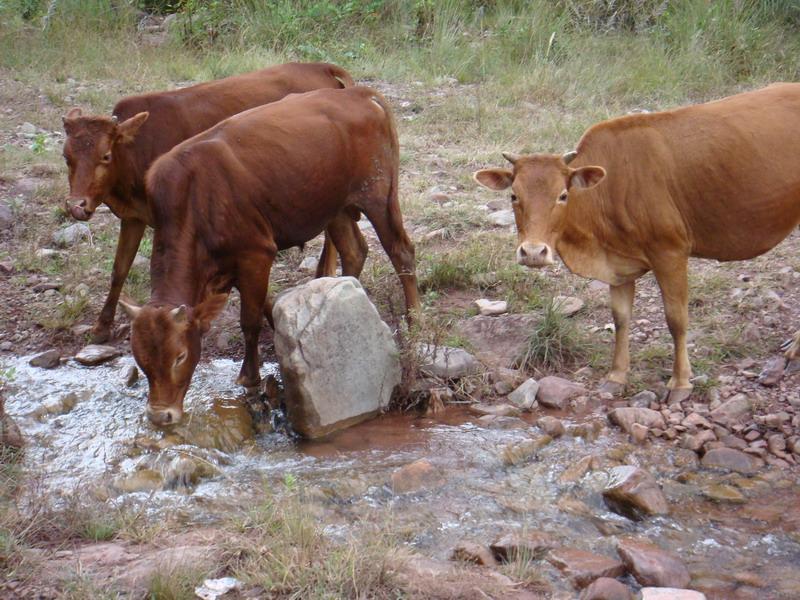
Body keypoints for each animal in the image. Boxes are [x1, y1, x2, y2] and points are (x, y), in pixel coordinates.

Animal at [62, 62, 368, 342]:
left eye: (105, 156)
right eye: (67, 157)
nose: (77, 205)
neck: (137, 150)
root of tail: (320, 67)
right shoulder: (134, 217)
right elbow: (119, 269)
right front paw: (102, 326)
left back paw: (325, 274)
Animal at [120, 86, 418, 426]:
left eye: (179, 356)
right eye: (141, 360)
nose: (160, 415)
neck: (193, 199)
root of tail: (360, 93)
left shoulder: (256, 253)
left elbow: (249, 320)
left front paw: (250, 377)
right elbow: (264, 303)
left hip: (378, 194)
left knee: (402, 253)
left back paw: (415, 321)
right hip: (336, 207)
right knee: (354, 251)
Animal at [476, 81, 800, 398]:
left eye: (563, 195)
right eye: (514, 195)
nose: (533, 253)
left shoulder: (671, 252)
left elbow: (676, 319)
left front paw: (680, 382)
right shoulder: (617, 264)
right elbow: (621, 318)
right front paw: (617, 376)